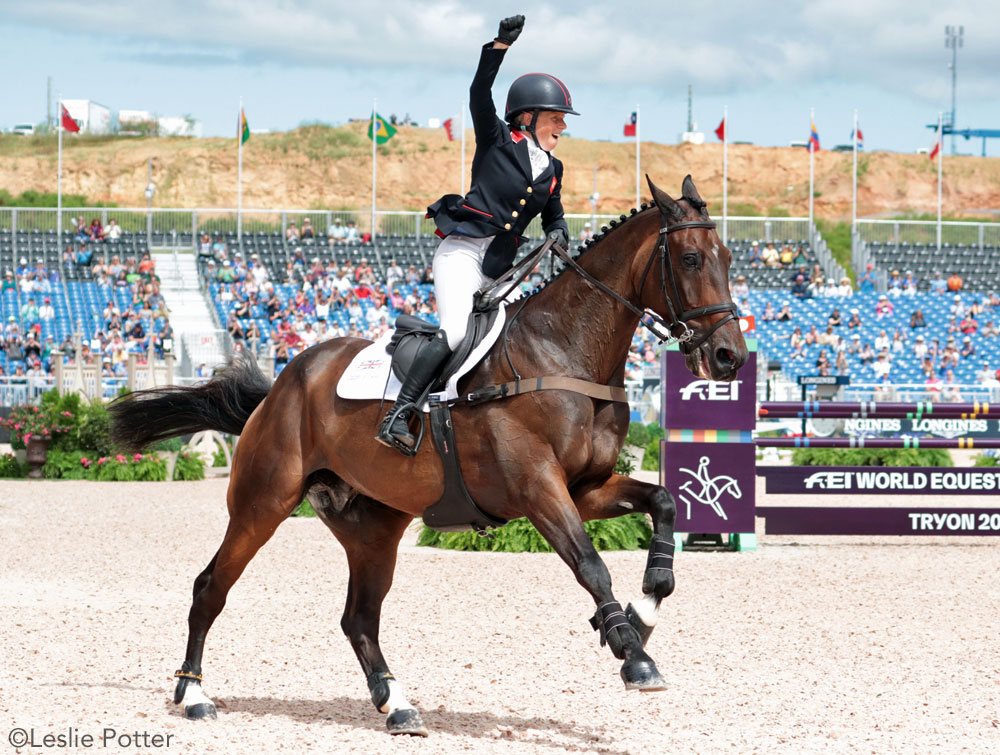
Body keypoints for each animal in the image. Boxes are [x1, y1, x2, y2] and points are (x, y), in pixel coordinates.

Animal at [113, 174, 748, 736]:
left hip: (373, 527)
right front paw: (632, 653)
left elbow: (663, 501)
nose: (729, 358)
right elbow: (591, 564)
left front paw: (645, 608)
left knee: (359, 617)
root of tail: (282, 384)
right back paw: (194, 694)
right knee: (210, 588)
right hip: (262, 502)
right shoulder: (539, 489)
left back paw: (396, 705)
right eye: (691, 260)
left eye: (728, 259)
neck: (562, 351)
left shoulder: (586, 487)